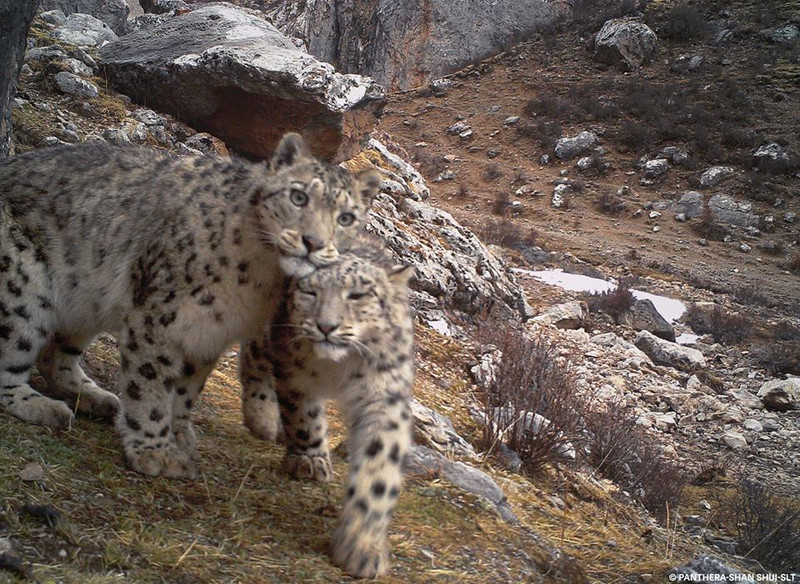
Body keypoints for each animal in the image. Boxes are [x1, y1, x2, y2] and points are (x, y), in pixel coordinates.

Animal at [0, 133, 380, 478]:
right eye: (298, 196)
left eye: (346, 217)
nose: (313, 242)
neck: (258, 279)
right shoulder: (159, 318)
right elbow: (150, 383)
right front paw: (156, 451)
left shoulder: (209, 331)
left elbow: (185, 388)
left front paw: (178, 433)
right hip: (22, 287)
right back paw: (45, 407)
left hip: (85, 304)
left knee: (55, 355)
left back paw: (94, 397)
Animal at [238, 249, 415, 579]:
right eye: (310, 292)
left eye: (358, 295)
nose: (326, 326)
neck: (339, 368)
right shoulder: (294, 374)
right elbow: (304, 419)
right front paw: (310, 461)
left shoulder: (384, 396)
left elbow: (379, 471)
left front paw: (360, 547)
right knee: (253, 354)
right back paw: (263, 417)